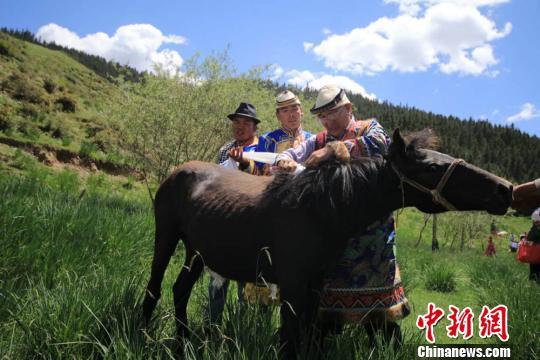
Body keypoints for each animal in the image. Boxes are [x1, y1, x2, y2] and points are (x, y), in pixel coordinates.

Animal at [141, 128, 512, 356]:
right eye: (433, 167)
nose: (505, 189)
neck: (322, 206)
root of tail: (178, 172)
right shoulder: (292, 284)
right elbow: (293, 337)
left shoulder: (315, 284)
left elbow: (308, 335)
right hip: (167, 239)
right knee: (155, 288)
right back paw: (143, 335)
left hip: (197, 252)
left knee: (180, 290)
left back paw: (183, 343)